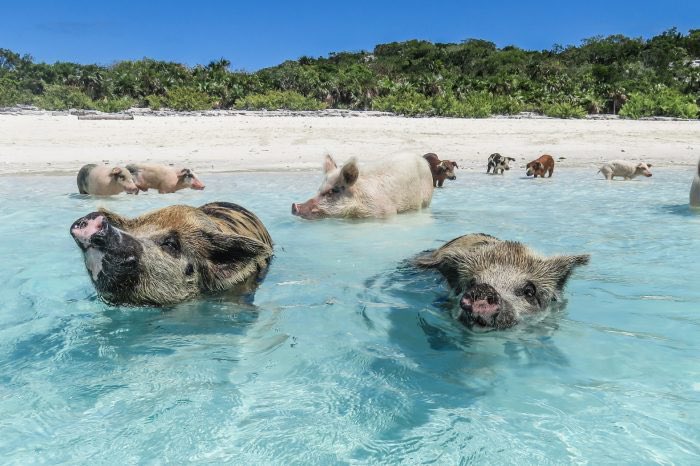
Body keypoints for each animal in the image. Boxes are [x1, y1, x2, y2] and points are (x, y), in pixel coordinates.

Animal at [291, 153, 434, 219]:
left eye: (333, 191)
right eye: (319, 189)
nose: (294, 206)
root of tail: (422, 159)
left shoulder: (386, 212)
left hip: (426, 199)